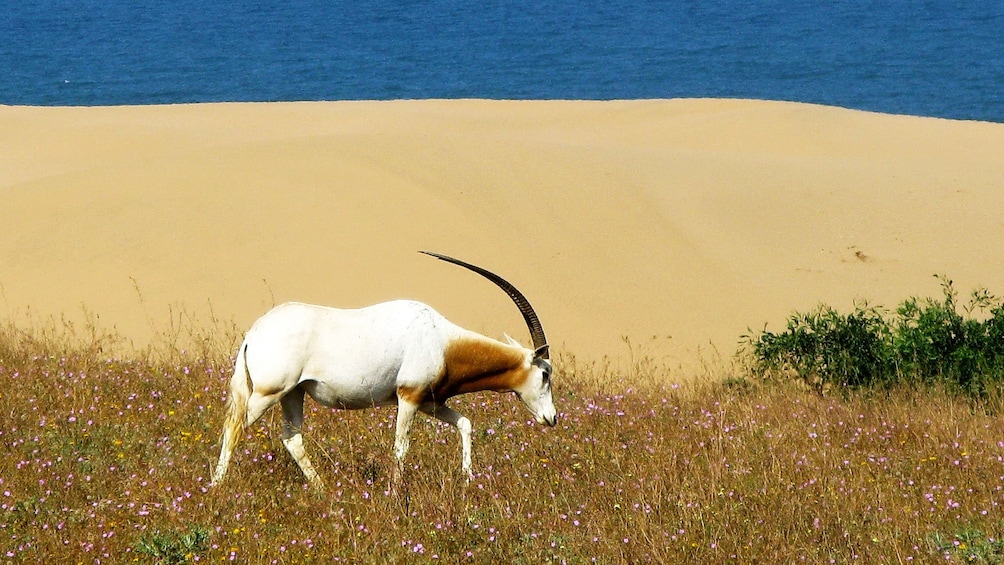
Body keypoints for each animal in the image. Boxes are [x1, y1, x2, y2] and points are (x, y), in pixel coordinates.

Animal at [211, 251, 558, 491]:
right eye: (545, 373)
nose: (552, 418)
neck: (443, 340)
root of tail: (254, 333)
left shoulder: (429, 401)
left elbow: (465, 424)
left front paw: (468, 479)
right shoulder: (409, 397)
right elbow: (401, 447)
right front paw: (394, 492)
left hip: (293, 393)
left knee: (291, 438)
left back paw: (323, 490)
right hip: (268, 392)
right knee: (233, 427)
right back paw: (216, 487)